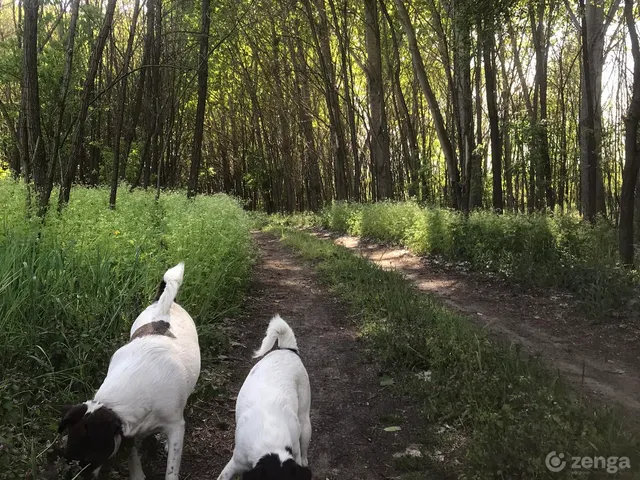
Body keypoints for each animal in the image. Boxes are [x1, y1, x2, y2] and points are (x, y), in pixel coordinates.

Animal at [59, 262, 201, 480]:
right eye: (69, 459)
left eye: (88, 460)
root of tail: (163, 307)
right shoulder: (129, 433)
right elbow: (133, 457)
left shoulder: (175, 426)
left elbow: (171, 467)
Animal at [218, 316, 312, 480]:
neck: (270, 440)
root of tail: (287, 350)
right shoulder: (236, 463)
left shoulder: (294, 452)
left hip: (304, 421)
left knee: (304, 447)